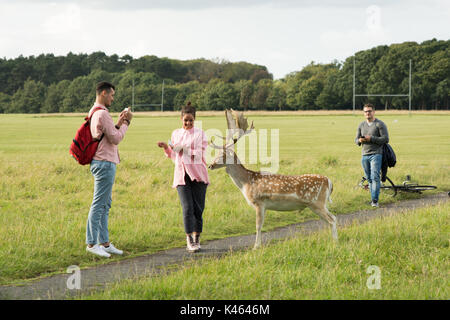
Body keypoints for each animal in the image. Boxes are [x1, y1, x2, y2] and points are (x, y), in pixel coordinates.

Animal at [209, 109, 336, 249]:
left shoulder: (259, 202)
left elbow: (258, 226)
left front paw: (256, 247)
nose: (210, 165)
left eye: (223, 155)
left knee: (332, 220)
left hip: (317, 202)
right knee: (332, 218)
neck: (246, 182)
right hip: (319, 204)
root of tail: (329, 182)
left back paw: (335, 243)